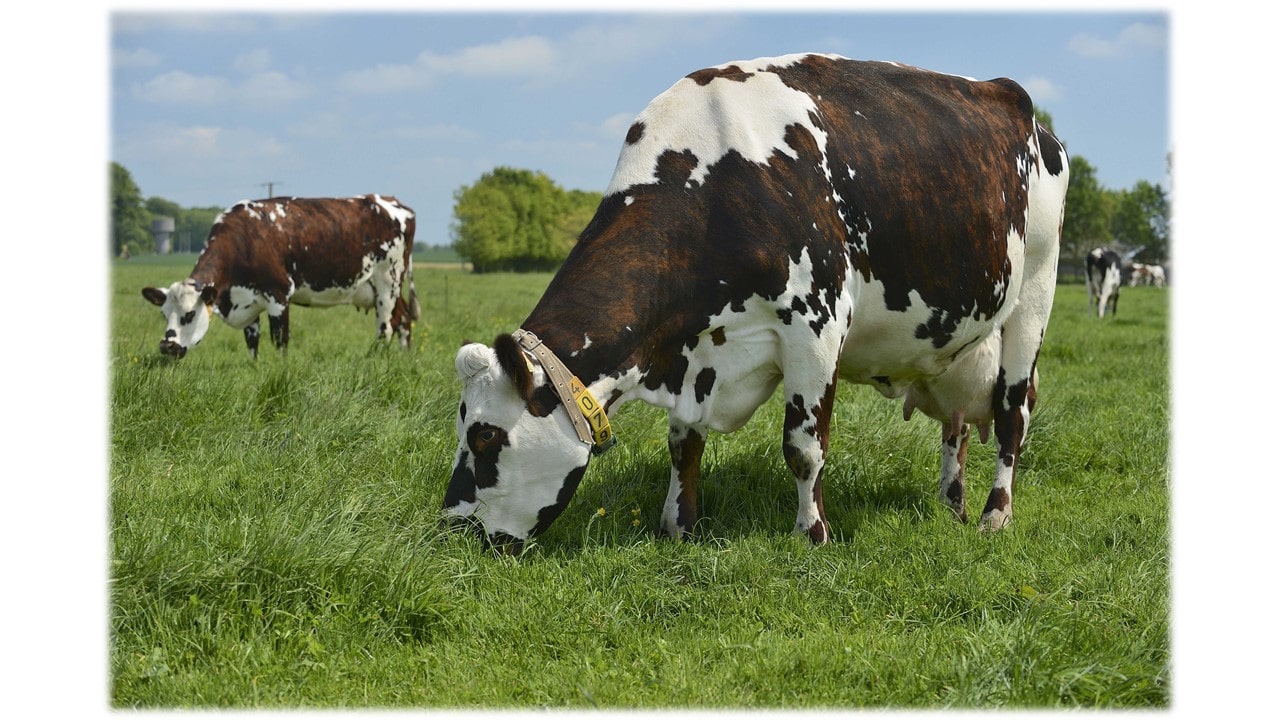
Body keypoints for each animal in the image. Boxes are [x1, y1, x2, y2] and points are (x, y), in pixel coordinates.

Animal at [142, 194, 419, 359]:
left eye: (189, 315)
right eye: (163, 314)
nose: (167, 346)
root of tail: (389, 200)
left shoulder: (279, 295)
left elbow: (280, 342)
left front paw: (280, 370)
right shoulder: (248, 302)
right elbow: (252, 345)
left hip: (388, 281)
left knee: (385, 328)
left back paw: (376, 360)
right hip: (379, 288)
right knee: (403, 319)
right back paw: (403, 360)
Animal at [443, 54, 1070, 554]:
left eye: (484, 436)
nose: (452, 528)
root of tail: (1019, 105)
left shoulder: (816, 324)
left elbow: (803, 446)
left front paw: (812, 535)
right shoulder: (692, 348)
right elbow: (682, 444)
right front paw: (678, 527)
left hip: (1034, 295)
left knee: (1013, 417)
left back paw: (994, 516)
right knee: (957, 426)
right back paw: (950, 505)